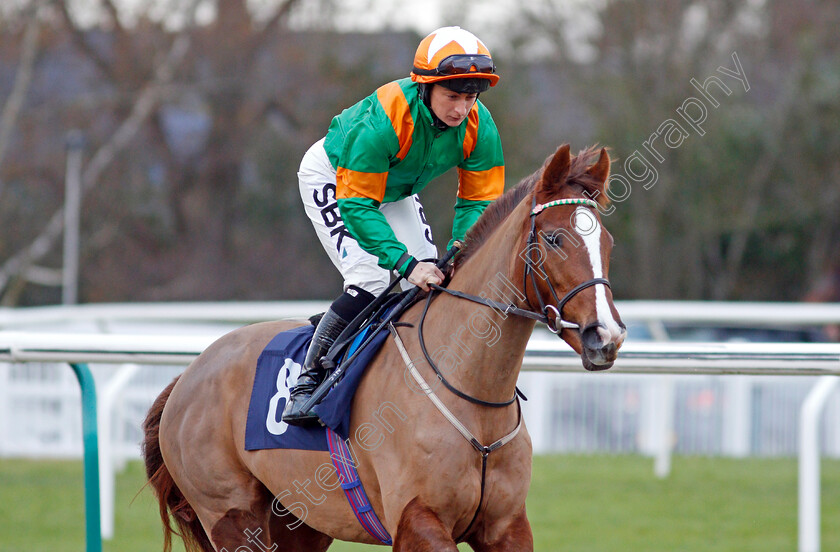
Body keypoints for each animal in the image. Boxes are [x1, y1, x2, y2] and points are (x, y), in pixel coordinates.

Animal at [143, 144, 624, 548]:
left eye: (607, 241)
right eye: (554, 239)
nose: (607, 336)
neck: (472, 392)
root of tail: (187, 375)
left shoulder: (506, 526)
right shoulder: (418, 522)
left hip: (299, 522)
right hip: (232, 517)